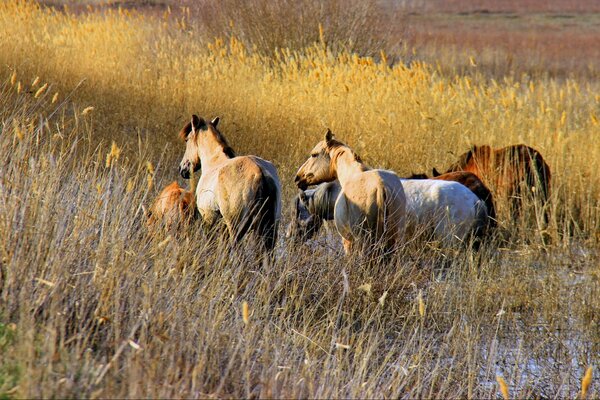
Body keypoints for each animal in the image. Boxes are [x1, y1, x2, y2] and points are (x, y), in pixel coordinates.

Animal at [178, 114, 282, 250]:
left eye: (187, 140)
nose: (182, 169)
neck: (214, 163)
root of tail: (260, 172)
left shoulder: (208, 218)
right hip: (271, 227)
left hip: (236, 226)